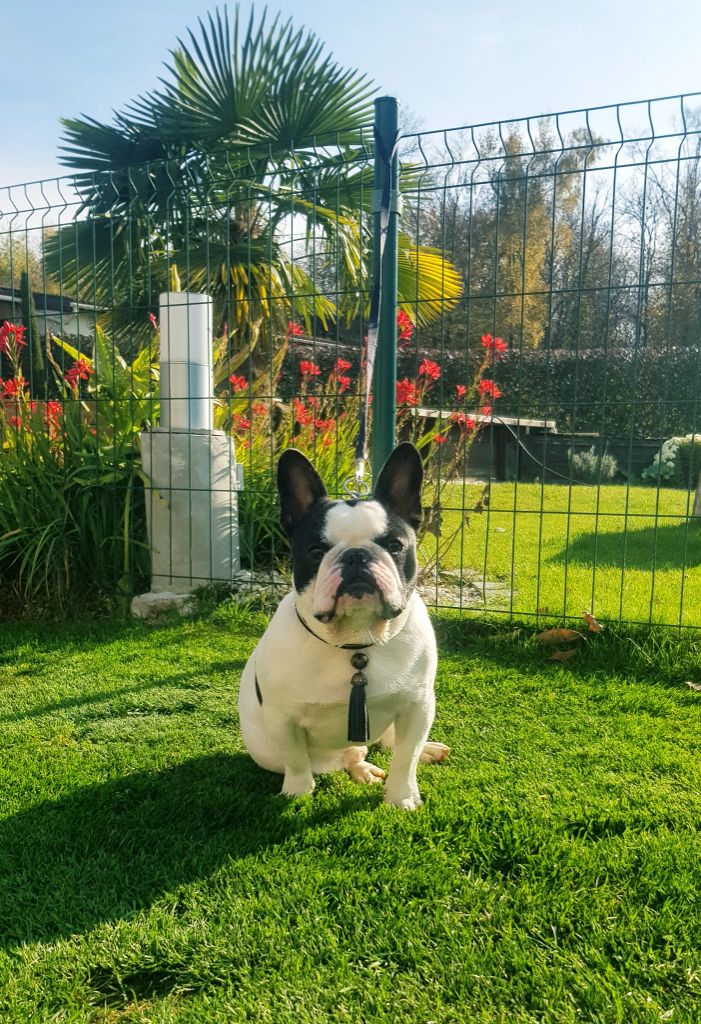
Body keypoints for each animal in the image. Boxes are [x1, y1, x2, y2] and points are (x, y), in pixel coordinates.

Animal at [238, 442, 449, 810]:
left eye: (395, 545)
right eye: (316, 550)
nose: (355, 556)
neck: (358, 640)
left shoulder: (418, 705)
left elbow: (405, 757)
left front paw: (401, 797)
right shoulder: (282, 718)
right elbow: (296, 759)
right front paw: (297, 794)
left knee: (388, 744)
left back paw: (425, 751)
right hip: (267, 749)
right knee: (345, 757)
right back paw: (359, 768)